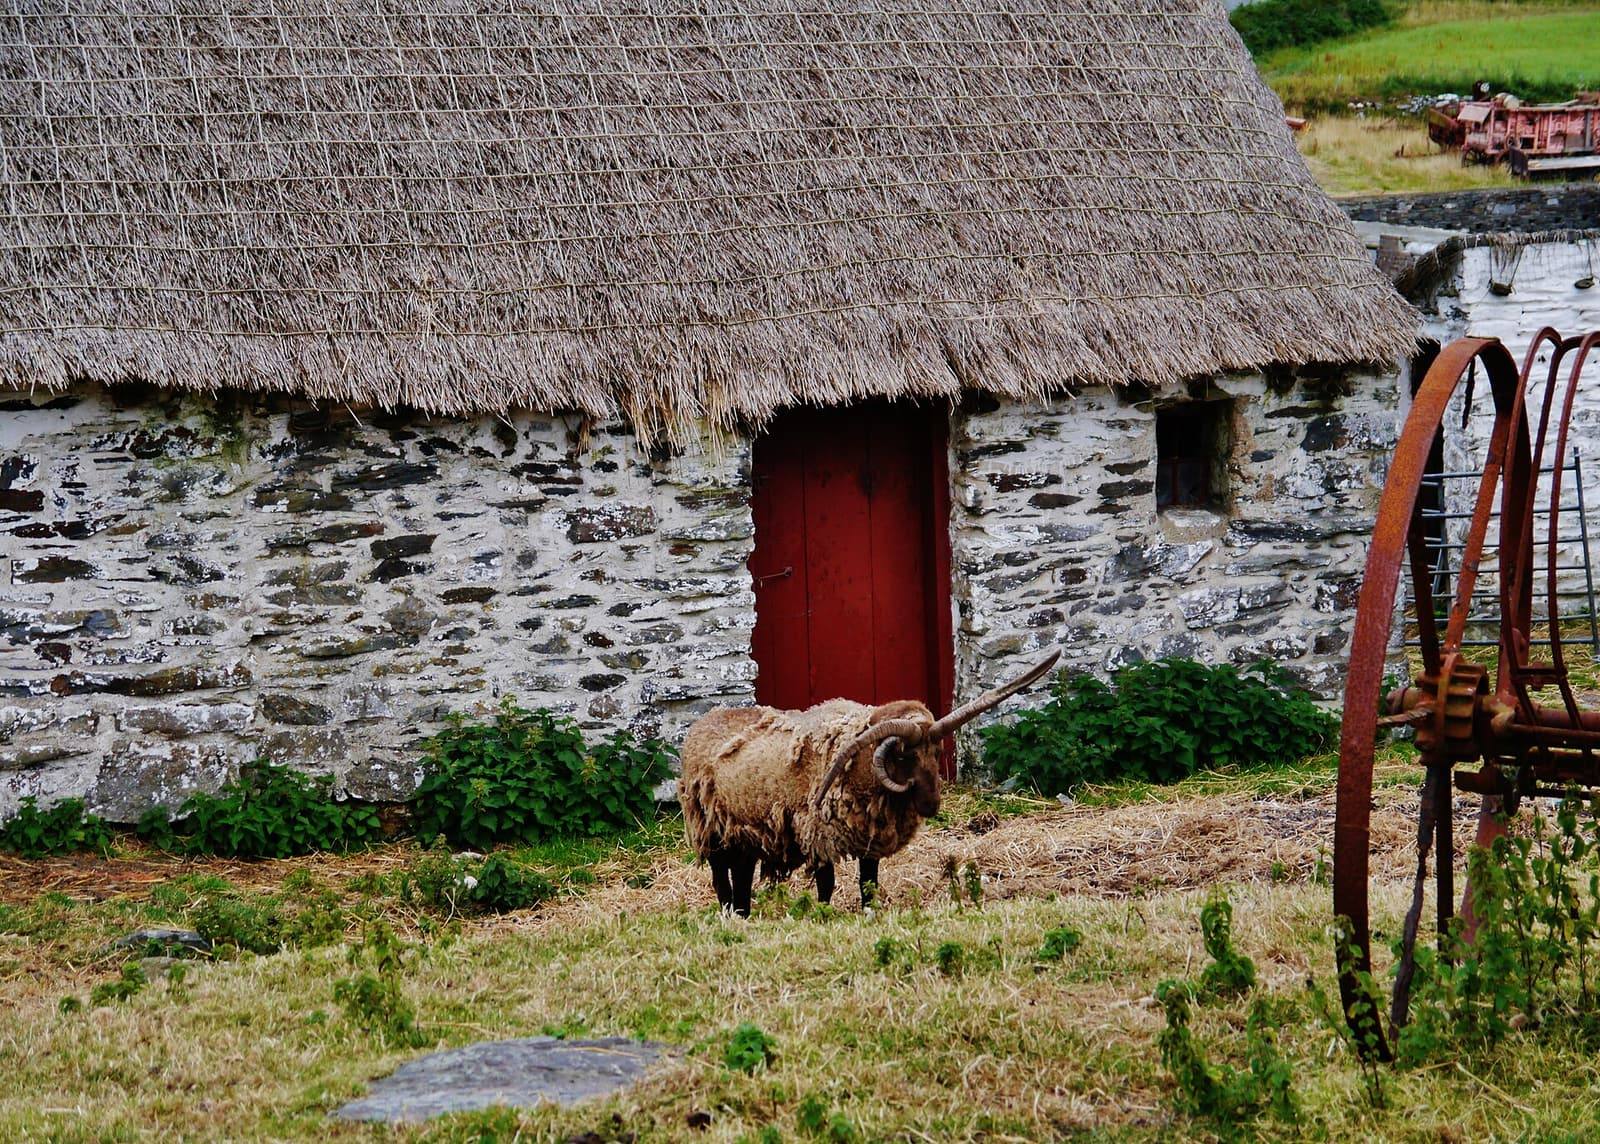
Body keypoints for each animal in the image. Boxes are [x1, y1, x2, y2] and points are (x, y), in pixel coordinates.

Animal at [680, 651, 1060, 916]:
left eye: (936, 751)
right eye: (905, 757)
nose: (932, 805)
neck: (860, 770)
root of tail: (704, 722)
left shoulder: (869, 839)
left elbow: (868, 883)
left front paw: (869, 912)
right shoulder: (820, 835)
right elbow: (827, 884)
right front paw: (824, 914)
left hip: (743, 835)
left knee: (741, 877)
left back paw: (742, 913)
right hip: (712, 830)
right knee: (722, 879)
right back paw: (731, 914)